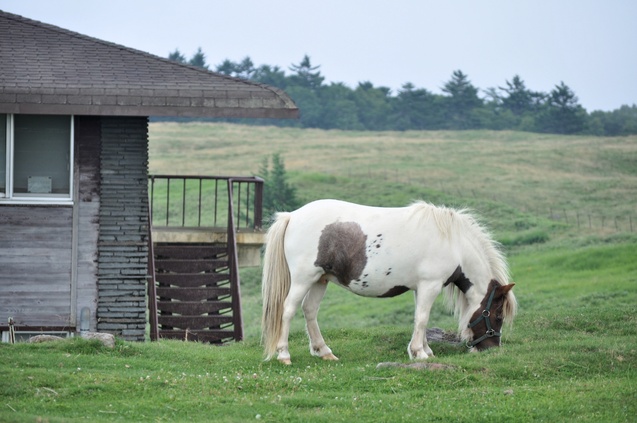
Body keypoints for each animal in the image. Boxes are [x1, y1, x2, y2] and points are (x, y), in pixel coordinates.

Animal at [260, 200, 516, 366]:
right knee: (288, 310)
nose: (492, 348)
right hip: (303, 279)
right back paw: (284, 355)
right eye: (498, 316)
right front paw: (418, 353)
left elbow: (420, 318)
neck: (453, 243)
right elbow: (422, 318)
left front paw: (425, 350)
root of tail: (292, 216)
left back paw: (324, 352)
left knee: (310, 311)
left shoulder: (421, 288)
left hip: (320, 280)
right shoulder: (430, 286)